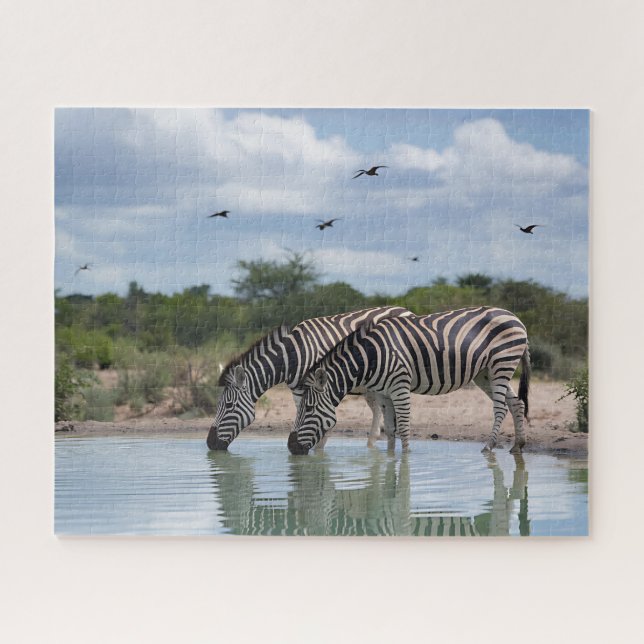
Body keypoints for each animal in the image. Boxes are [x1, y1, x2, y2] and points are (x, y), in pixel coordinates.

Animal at [207, 306, 414, 450]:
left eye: (228, 406)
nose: (209, 444)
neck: (292, 356)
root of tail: (405, 310)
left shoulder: (312, 388)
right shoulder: (299, 391)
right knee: (378, 411)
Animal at [287, 306, 531, 455]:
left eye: (308, 409)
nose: (291, 447)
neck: (371, 356)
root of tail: (515, 317)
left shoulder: (399, 387)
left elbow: (403, 428)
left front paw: (405, 459)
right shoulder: (383, 393)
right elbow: (390, 429)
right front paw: (388, 459)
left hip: (502, 362)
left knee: (500, 407)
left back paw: (489, 447)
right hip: (484, 373)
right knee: (516, 403)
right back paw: (518, 445)